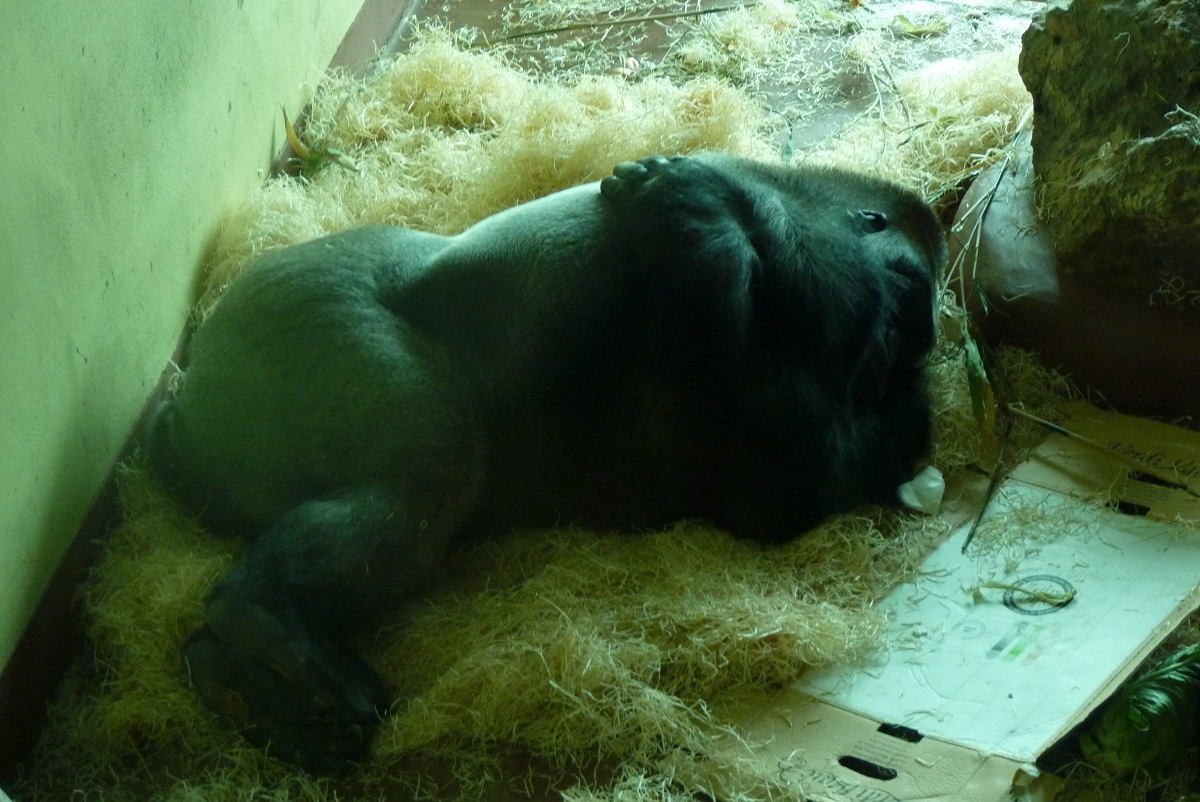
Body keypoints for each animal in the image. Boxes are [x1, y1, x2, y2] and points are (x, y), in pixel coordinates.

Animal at [148, 153, 946, 771]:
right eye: (909, 295)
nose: (911, 344)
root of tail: (182, 425)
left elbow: (773, 482)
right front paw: (696, 209)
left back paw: (245, 678)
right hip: (294, 312)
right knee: (434, 462)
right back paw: (261, 624)